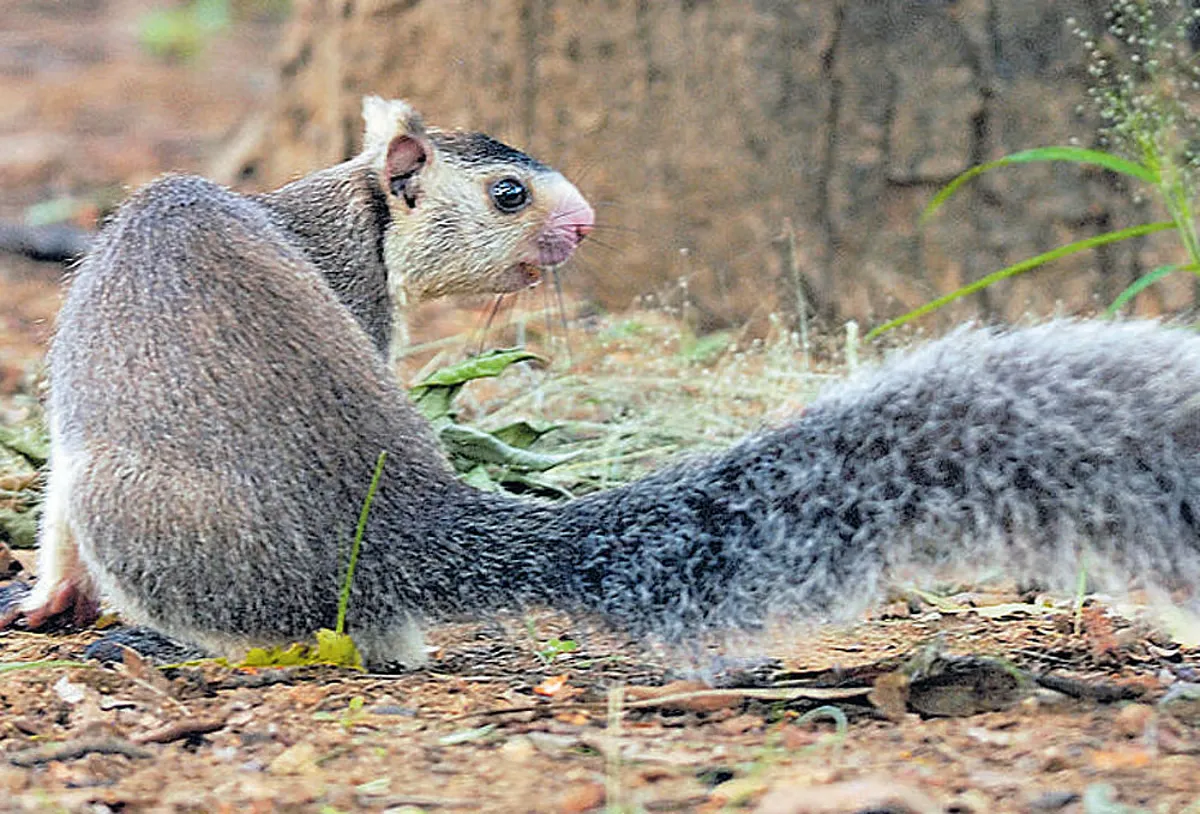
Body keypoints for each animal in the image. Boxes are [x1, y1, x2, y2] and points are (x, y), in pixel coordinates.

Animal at [2, 97, 1199, 667]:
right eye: (508, 193)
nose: (585, 223)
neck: (330, 214)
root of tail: (404, 522)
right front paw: (49, 597)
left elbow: (53, 497)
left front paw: (54, 596)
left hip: (143, 510)